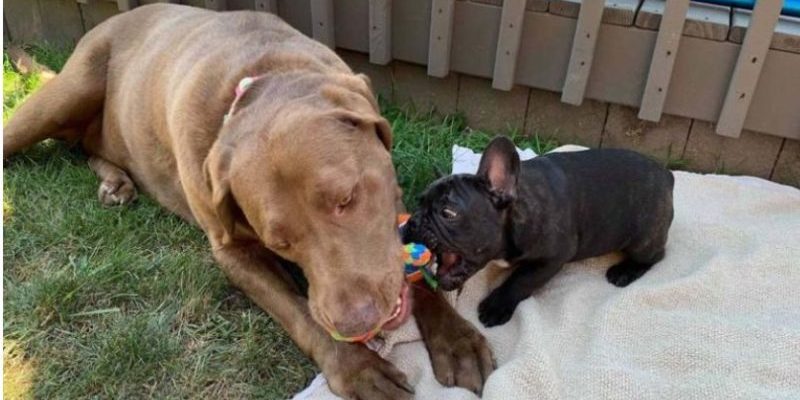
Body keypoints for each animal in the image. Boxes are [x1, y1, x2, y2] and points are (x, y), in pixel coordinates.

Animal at [3, 3, 494, 400]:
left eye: (347, 198)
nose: (356, 324)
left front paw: (455, 338)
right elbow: (300, 313)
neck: (265, 75)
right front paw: (357, 368)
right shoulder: (233, 252)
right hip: (66, 92)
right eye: (280, 242)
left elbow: (407, 268)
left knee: (83, 146)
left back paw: (115, 180)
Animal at [404, 136, 672, 326]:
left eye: (448, 213)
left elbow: (521, 280)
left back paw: (625, 271)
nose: (413, 222)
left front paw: (496, 306)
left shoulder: (552, 258)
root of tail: (666, 174)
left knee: (655, 256)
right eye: (419, 203)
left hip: (643, 239)